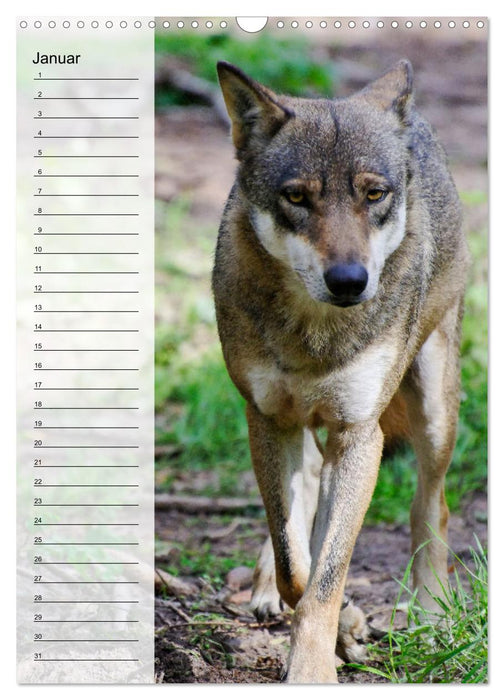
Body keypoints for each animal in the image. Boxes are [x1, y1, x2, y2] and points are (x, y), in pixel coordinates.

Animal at [212, 59, 469, 683]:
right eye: (297, 198)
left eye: (373, 194)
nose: (350, 281)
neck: (315, 335)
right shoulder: (267, 419)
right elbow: (296, 564)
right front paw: (341, 624)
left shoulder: (358, 434)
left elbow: (327, 577)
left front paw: (314, 666)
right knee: (299, 499)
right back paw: (264, 589)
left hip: (433, 415)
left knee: (432, 507)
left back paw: (431, 614)